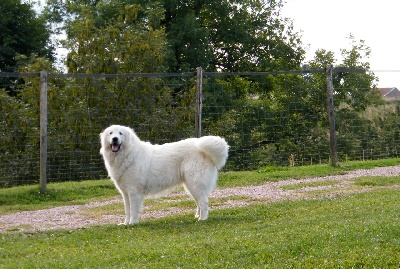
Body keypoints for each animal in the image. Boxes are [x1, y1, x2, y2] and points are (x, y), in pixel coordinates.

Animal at [99, 124, 228, 223]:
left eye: (120, 133)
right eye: (111, 133)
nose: (115, 139)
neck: (128, 154)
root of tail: (204, 150)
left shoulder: (134, 192)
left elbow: (134, 210)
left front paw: (133, 223)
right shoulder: (125, 193)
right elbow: (127, 210)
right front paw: (125, 224)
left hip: (195, 183)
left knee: (204, 203)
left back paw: (202, 220)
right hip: (191, 186)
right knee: (200, 202)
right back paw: (198, 217)